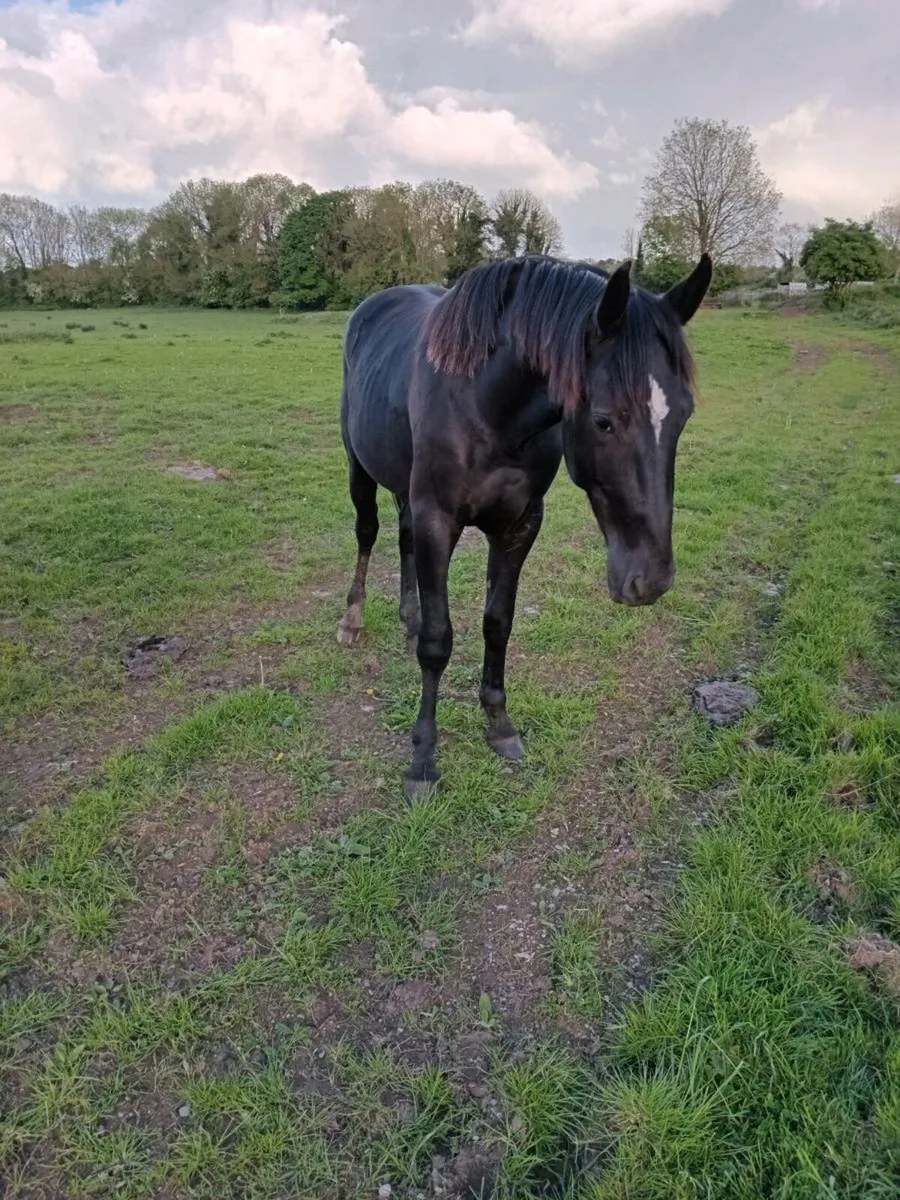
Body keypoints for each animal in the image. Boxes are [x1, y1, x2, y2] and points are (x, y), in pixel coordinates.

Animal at [336, 251, 712, 800]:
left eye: (683, 415)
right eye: (604, 421)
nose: (651, 581)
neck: (485, 405)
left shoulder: (519, 524)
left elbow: (498, 623)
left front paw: (498, 725)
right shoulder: (437, 520)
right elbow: (438, 641)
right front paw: (423, 760)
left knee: (403, 542)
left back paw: (407, 618)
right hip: (359, 469)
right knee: (368, 533)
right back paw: (352, 620)